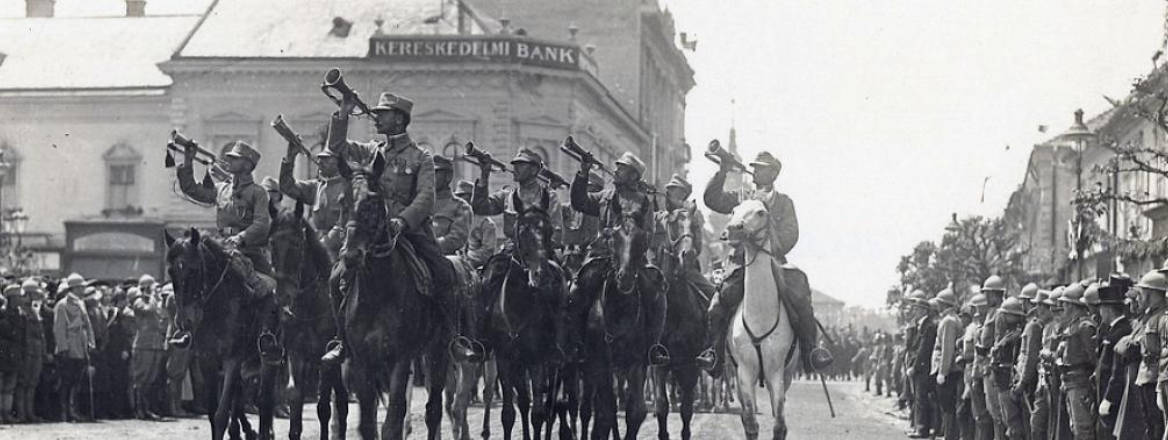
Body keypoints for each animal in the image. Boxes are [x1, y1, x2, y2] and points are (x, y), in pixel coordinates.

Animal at [164, 229, 280, 438]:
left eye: (193, 270)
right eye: (171, 271)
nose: (185, 320)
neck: (218, 307)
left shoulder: (232, 359)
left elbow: (221, 415)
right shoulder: (207, 361)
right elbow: (213, 413)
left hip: (269, 358)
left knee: (265, 400)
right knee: (240, 398)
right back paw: (243, 430)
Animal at [269, 204, 350, 438]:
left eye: (296, 244)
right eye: (272, 243)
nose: (283, 296)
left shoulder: (326, 359)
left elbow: (324, 408)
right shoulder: (298, 354)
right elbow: (295, 396)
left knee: (341, 401)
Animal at [336, 151, 453, 438]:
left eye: (373, 202)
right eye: (342, 200)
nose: (351, 256)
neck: (377, 293)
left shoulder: (400, 358)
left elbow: (392, 422)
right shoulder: (361, 362)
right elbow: (368, 425)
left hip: (438, 351)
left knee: (433, 410)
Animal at [724, 199, 798, 438]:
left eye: (760, 212)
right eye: (733, 210)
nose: (733, 228)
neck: (760, 316)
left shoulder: (777, 372)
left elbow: (780, 423)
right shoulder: (744, 372)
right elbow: (750, 422)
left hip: (788, 374)